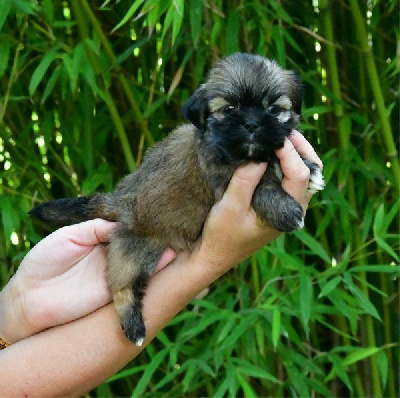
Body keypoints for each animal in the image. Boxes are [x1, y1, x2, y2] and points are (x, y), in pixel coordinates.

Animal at [31, 52, 324, 346]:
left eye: (273, 109)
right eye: (230, 109)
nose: (251, 124)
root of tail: (121, 200)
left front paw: (308, 169)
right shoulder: (225, 178)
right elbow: (263, 187)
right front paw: (284, 209)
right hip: (135, 249)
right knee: (121, 285)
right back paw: (134, 326)